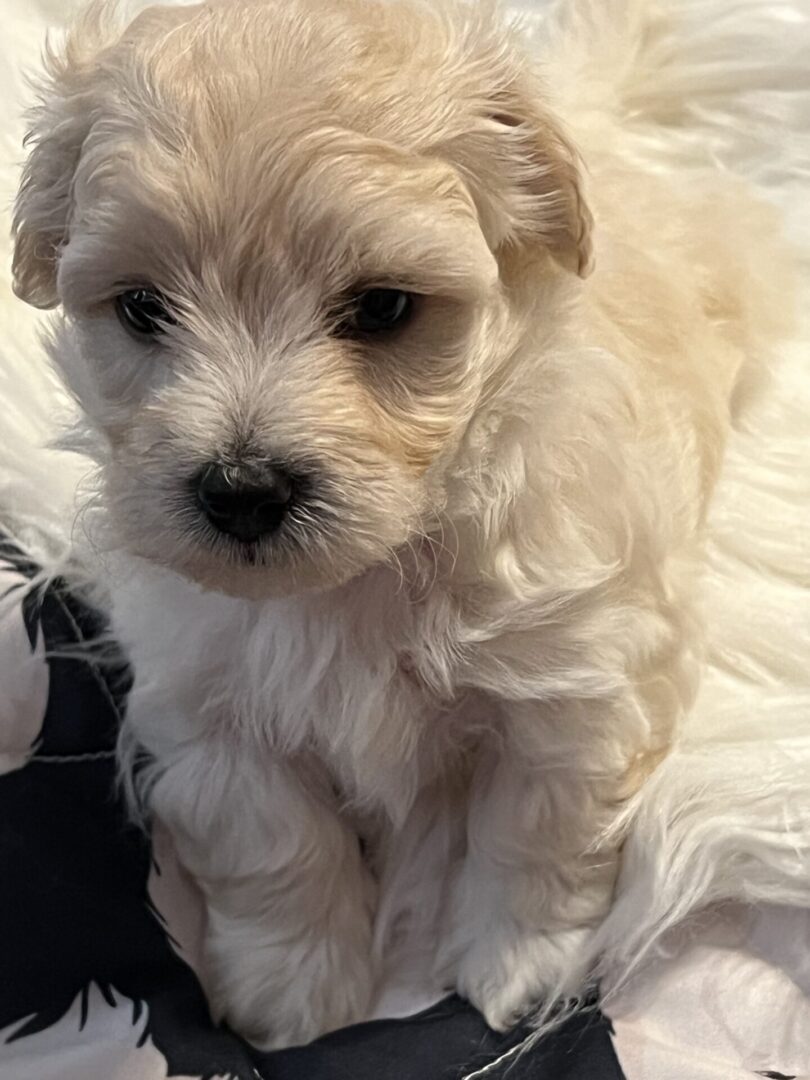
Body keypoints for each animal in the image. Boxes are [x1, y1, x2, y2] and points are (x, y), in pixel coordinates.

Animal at [11, 0, 799, 1049]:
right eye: (142, 307)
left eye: (383, 308)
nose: (242, 488)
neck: (365, 576)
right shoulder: (208, 702)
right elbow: (272, 839)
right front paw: (291, 988)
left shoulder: (579, 688)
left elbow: (537, 833)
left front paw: (517, 964)